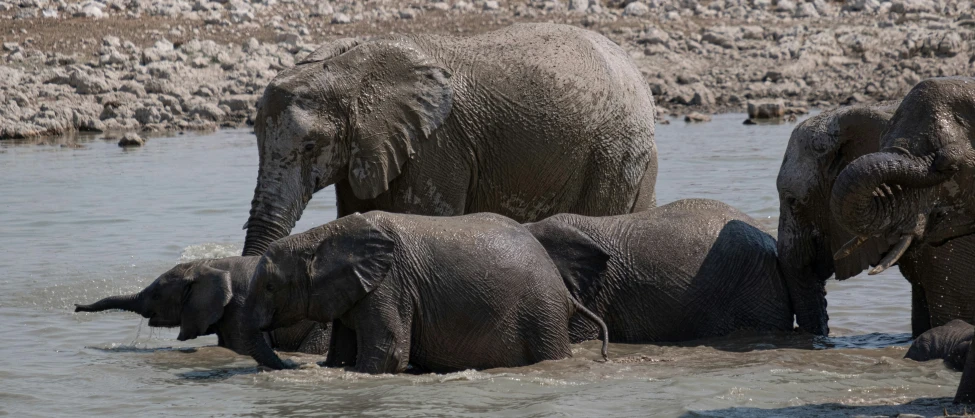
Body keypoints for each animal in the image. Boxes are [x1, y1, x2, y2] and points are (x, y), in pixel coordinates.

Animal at [243, 212, 608, 372]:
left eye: (271, 287)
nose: (286, 366)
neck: (321, 234)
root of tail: (563, 289)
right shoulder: (356, 291)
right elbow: (341, 353)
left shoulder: (390, 285)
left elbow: (388, 352)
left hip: (542, 312)